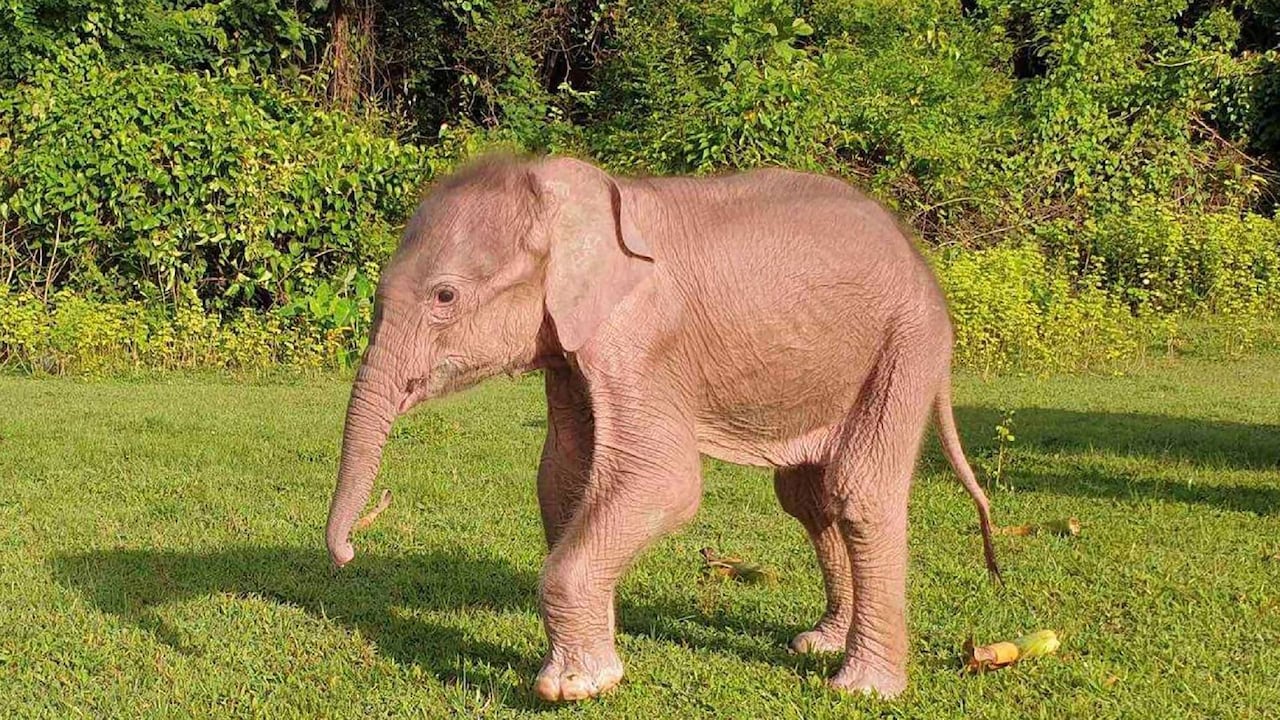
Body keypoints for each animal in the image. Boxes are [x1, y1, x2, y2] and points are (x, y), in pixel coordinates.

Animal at [324, 153, 999, 702]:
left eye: (444, 297)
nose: (349, 553)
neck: (567, 191)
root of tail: (923, 263)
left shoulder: (643, 339)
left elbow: (663, 480)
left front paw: (575, 687)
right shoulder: (573, 348)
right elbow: (563, 477)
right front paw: (592, 661)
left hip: (906, 342)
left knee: (859, 491)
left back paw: (863, 687)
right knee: (807, 496)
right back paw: (820, 644)